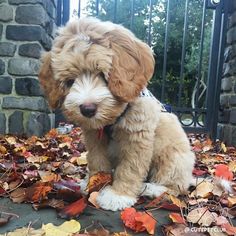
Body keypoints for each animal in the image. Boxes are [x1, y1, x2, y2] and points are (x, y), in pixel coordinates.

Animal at [39, 17, 195, 211]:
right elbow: (97, 161)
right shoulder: (94, 138)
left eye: (102, 74)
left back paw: (152, 188)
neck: (112, 120)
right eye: (70, 81)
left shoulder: (137, 137)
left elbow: (130, 168)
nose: (87, 109)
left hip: (174, 157)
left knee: (175, 186)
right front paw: (95, 183)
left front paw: (118, 195)